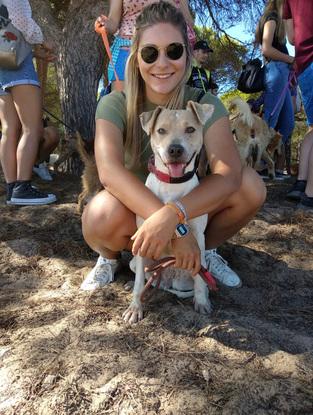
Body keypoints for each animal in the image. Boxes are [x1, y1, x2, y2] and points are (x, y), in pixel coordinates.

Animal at [122, 101, 214, 324]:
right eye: (161, 131)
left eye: (190, 129)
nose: (175, 149)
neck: (172, 184)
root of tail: (167, 279)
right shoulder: (143, 240)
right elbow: (139, 283)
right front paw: (135, 307)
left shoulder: (199, 239)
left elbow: (200, 280)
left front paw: (201, 301)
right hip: (135, 261)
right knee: (144, 278)